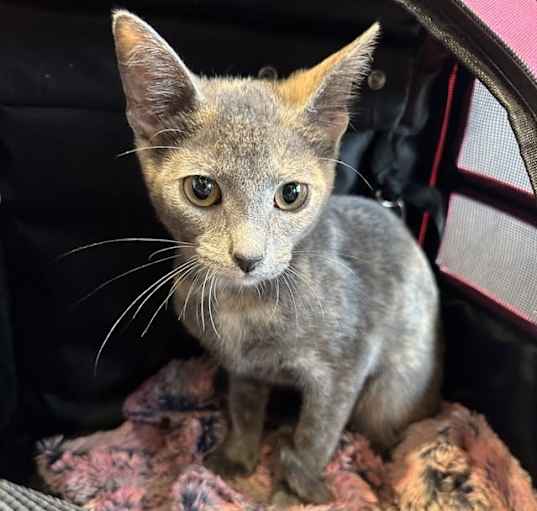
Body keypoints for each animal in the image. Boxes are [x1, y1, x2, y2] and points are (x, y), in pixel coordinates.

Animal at [112, 10, 440, 506]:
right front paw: (239, 460)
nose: (248, 257)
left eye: (291, 194)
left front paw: (292, 490)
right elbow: (245, 406)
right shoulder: (243, 368)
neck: (243, 304)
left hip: (390, 392)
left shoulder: (346, 366)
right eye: (201, 189)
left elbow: (316, 436)